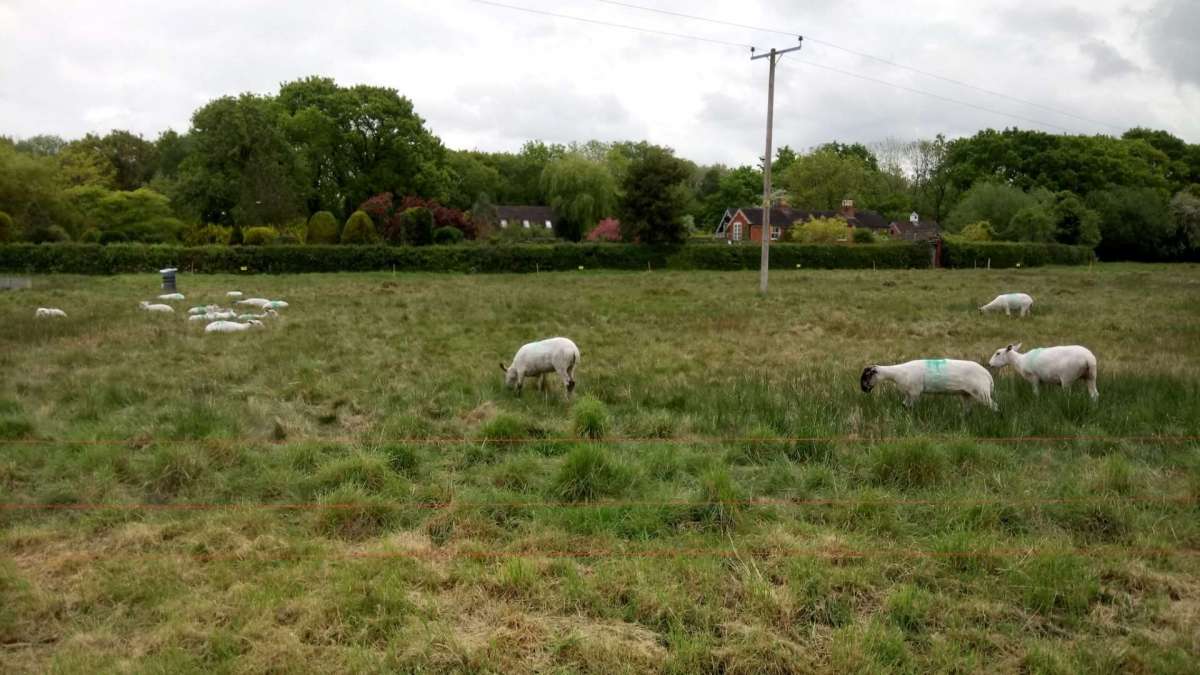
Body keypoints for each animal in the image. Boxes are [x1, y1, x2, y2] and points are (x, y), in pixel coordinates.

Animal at [860, 358, 997, 410]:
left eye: (866, 376)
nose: (863, 389)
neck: (897, 373)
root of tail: (988, 376)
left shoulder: (915, 392)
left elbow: (911, 408)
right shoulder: (908, 393)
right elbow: (904, 406)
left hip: (981, 392)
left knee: (994, 406)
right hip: (966, 394)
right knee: (967, 409)